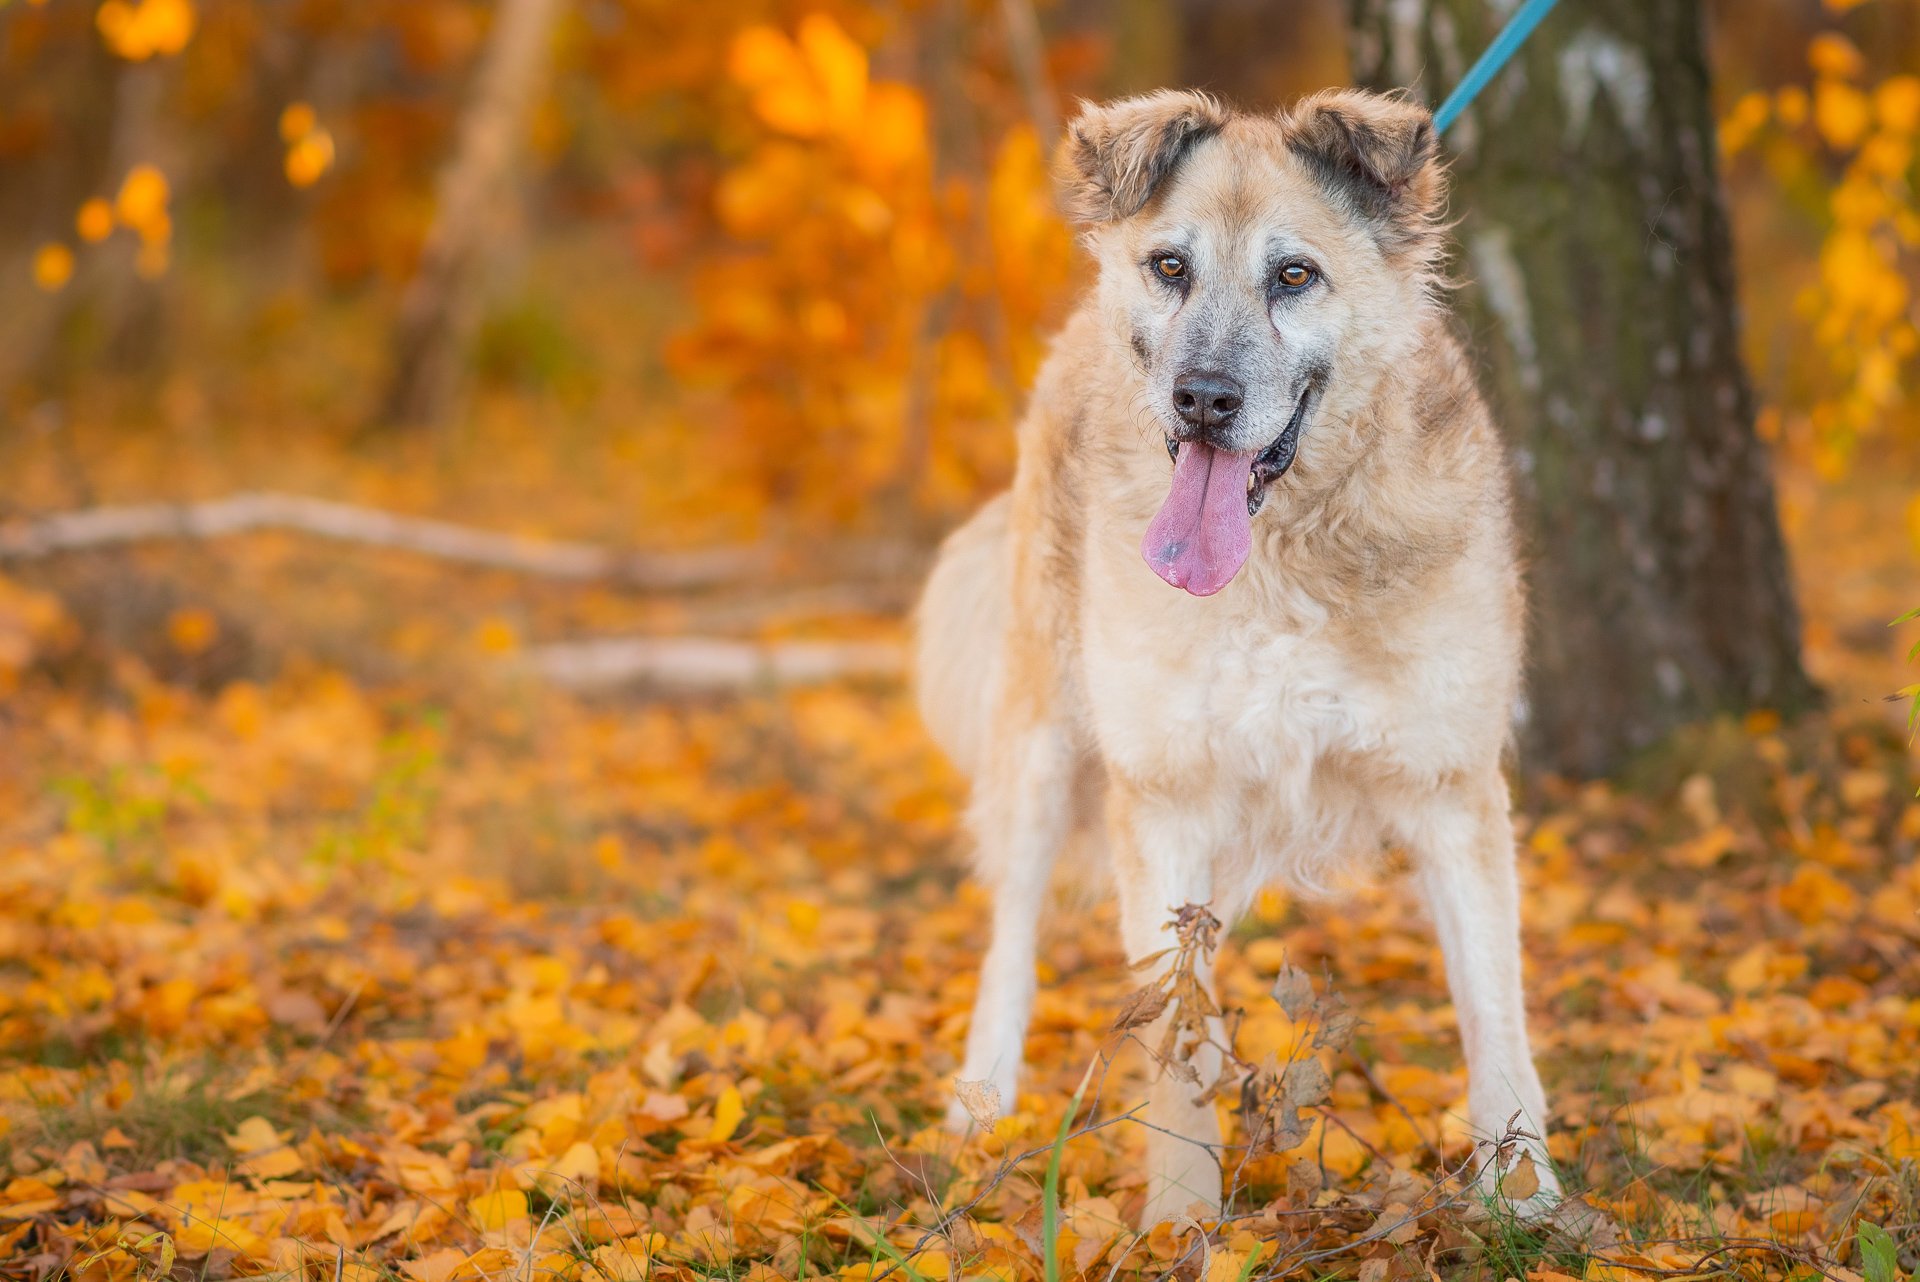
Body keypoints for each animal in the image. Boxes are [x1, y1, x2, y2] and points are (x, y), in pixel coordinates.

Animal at [913, 87, 1558, 1225]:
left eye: (1293, 276)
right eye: (1171, 266)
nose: (1203, 399)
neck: (1280, 558)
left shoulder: (1450, 788)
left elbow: (1496, 1009)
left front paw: (1523, 1198)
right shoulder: (1165, 800)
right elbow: (1177, 1044)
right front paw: (1180, 1224)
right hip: (1042, 744)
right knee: (1013, 932)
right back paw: (981, 1101)